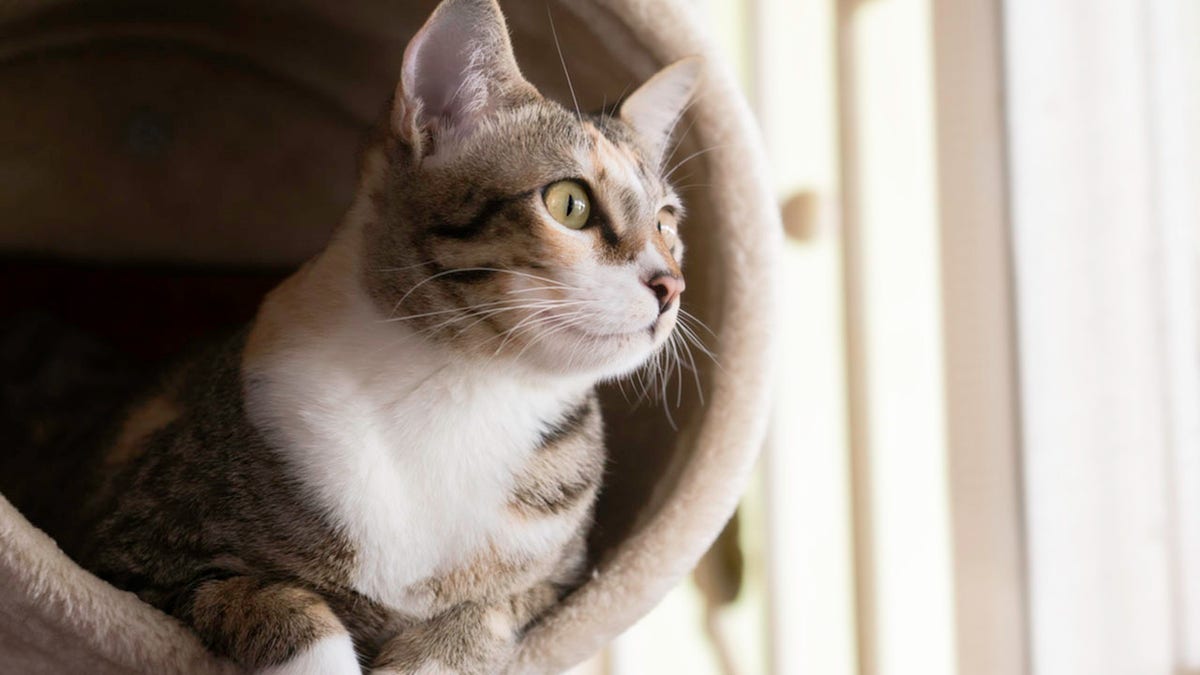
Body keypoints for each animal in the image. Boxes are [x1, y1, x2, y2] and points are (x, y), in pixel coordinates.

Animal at [65, 0, 700, 667]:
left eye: (666, 223)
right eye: (570, 203)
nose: (672, 285)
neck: (462, 387)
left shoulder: (561, 585)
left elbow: (485, 613)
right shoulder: (132, 548)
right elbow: (264, 594)